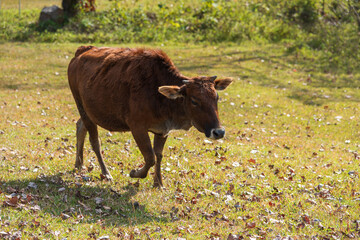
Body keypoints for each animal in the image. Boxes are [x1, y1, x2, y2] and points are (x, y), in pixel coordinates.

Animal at [67, 45, 232, 188]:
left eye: (216, 97)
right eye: (194, 101)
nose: (219, 132)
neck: (158, 96)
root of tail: (81, 51)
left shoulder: (162, 129)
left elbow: (158, 155)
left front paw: (158, 183)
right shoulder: (137, 126)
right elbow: (150, 157)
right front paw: (134, 173)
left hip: (89, 112)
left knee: (80, 126)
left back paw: (78, 163)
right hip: (81, 105)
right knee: (95, 141)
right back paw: (105, 172)